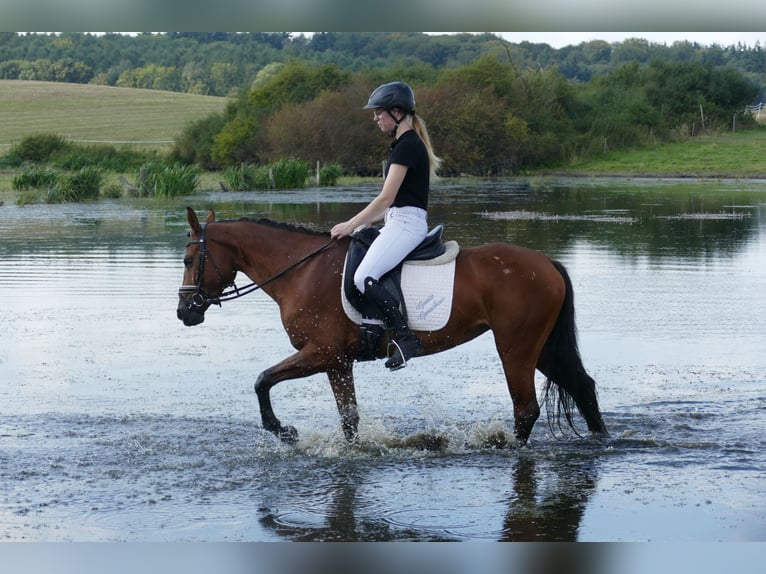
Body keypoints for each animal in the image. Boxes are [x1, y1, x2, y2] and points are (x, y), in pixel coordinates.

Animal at [177, 208, 608, 450]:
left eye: (187, 259)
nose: (184, 312)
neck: (300, 270)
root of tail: (546, 263)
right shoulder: (338, 363)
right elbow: (349, 418)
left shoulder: (320, 352)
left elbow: (262, 380)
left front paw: (284, 432)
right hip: (542, 348)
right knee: (583, 387)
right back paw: (602, 440)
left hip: (516, 347)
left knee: (526, 408)